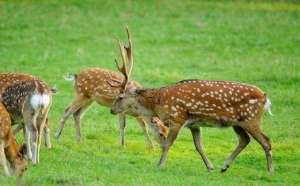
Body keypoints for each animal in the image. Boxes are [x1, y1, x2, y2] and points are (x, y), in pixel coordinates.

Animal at [110, 78, 274, 173]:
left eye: (120, 97)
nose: (111, 110)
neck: (158, 103)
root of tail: (266, 98)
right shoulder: (194, 124)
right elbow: (199, 146)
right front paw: (210, 167)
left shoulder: (177, 118)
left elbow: (167, 144)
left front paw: (160, 165)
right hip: (238, 122)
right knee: (245, 139)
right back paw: (224, 166)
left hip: (251, 118)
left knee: (266, 141)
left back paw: (270, 170)